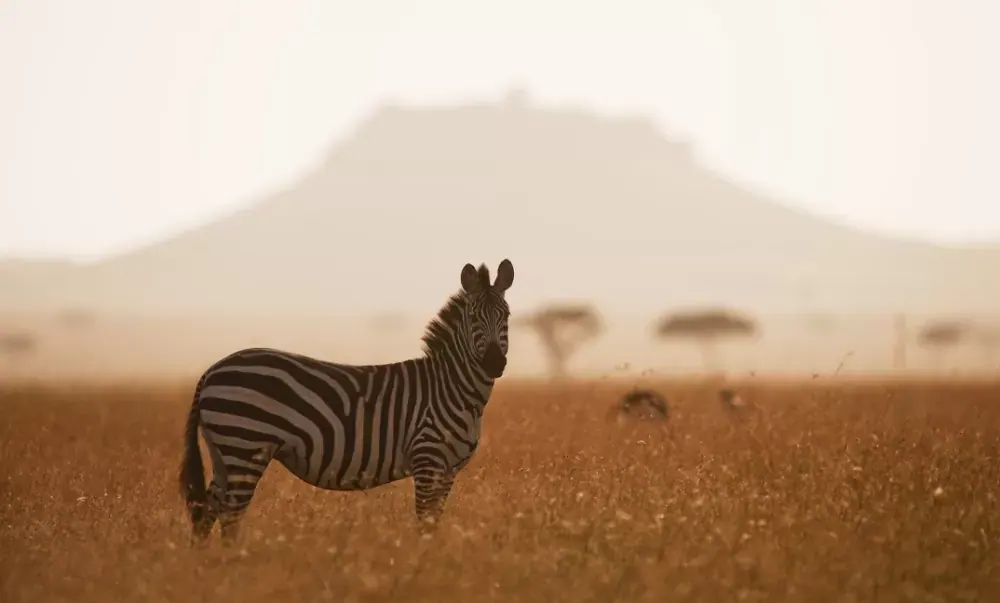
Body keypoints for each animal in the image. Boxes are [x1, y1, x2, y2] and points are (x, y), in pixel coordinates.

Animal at [178, 259, 515, 544]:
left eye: (507, 316)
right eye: (473, 317)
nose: (494, 363)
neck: (453, 388)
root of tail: (211, 370)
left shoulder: (448, 470)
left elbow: (433, 524)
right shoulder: (427, 460)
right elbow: (423, 525)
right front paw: (423, 564)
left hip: (225, 451)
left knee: (207, 512)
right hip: (245, 445)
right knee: (230, 516)